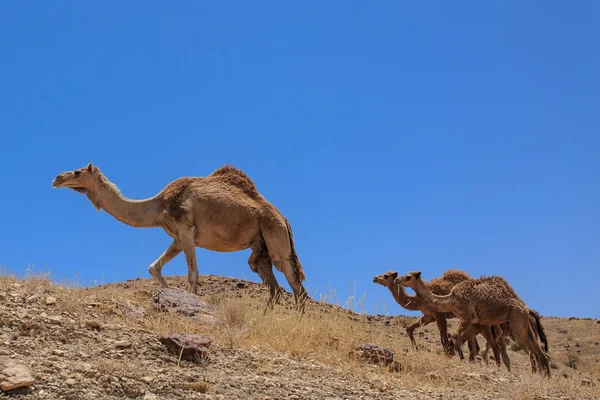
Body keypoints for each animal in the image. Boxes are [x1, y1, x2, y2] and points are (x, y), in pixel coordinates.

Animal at [51, 162, 310, 310]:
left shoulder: (186, 230)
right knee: (270, 282)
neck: (157, 206)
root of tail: (283, 217)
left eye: (77, 171)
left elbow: (193, 275)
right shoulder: (176, 237)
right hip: (260, 244)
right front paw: (168, 295)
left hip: (274, 231)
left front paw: (190, 305)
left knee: (294, 283)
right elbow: (153, 267)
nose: (57, 178)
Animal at [396, 270, 552, 376]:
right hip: (522, 324)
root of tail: (525, 307)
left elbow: (455, 336)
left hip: (517, 323)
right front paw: (464, 358)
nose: (397, 279)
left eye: (408, 277)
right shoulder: (472, 321)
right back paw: (544, 377)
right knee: (539, 353)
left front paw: (460, 357)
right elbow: (468, 342)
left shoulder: (468, 316)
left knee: (532, 352)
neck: (450, 299)